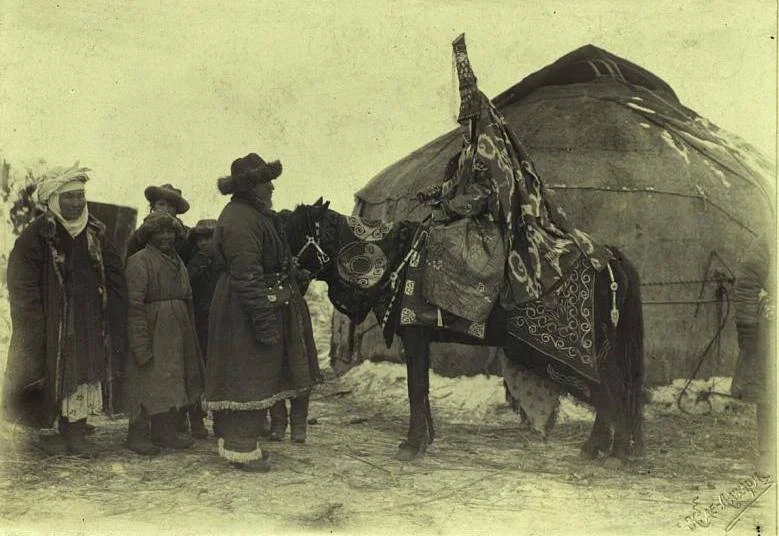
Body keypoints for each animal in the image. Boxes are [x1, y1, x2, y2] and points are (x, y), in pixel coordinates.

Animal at [282, 199, 644, 462]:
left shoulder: (414, 335)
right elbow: (422, 388)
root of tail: (611, 257)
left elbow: (416, 388)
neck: (396, 257)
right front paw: (424, 439)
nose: (284, 273)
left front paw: (411, 445)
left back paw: (614, 451)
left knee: (611, 389)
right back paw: (599, 448)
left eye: (293, 231)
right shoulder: (420, 339)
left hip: (595, 350)